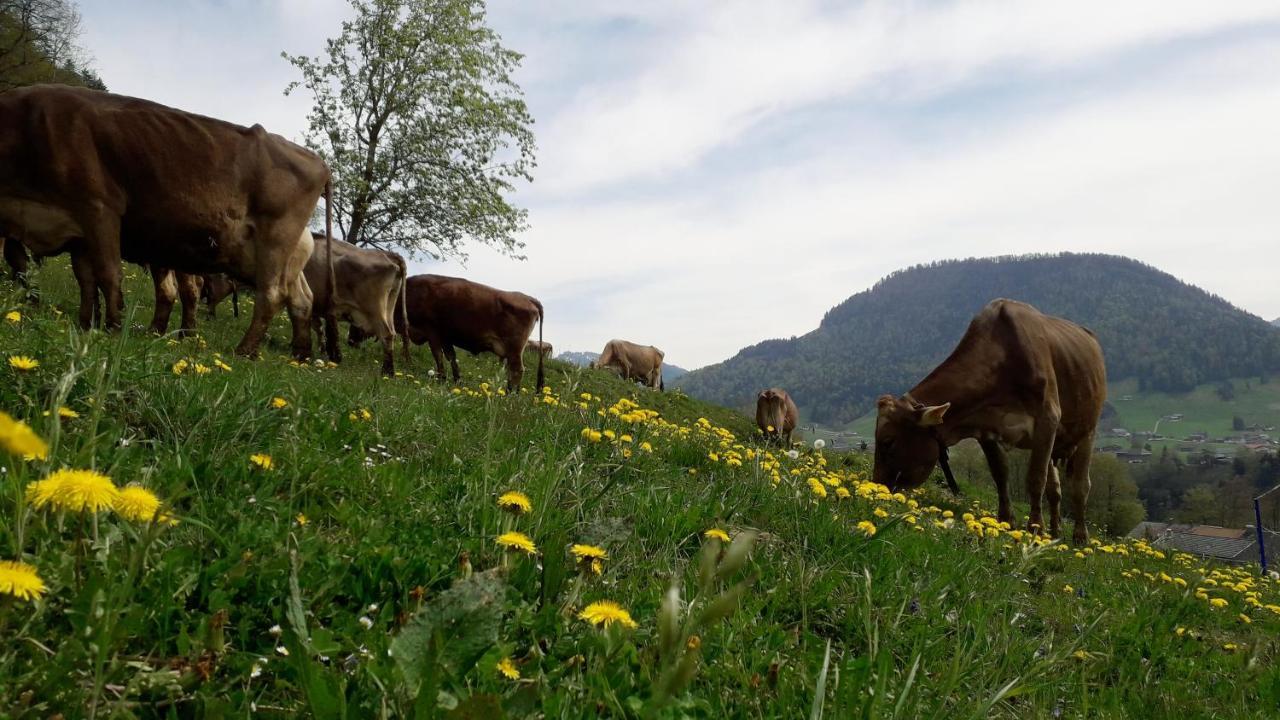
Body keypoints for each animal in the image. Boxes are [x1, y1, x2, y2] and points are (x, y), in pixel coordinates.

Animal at [0, 82, 332, 356]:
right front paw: (85, 323)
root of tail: (317, 161)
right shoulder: (72, 229)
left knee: (272, 294)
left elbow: (108, 274)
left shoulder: (100, 208)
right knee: (300, 299)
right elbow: (82, 278)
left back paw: (244, 350)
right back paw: (300, 353)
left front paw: (112, 327)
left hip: (275, 240)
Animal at [875, 295, 1105, 538]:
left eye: (888, 441)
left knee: (1081, 485)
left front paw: (1035, 528)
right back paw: (1055, 531)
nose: (877, 488)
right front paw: (1005, 520)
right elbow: (1000, 474)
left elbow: (1035, 478)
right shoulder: (987, 428)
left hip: (1088, 431)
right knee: (1055, 489)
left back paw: (1080, 535)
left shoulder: (1048, 418)